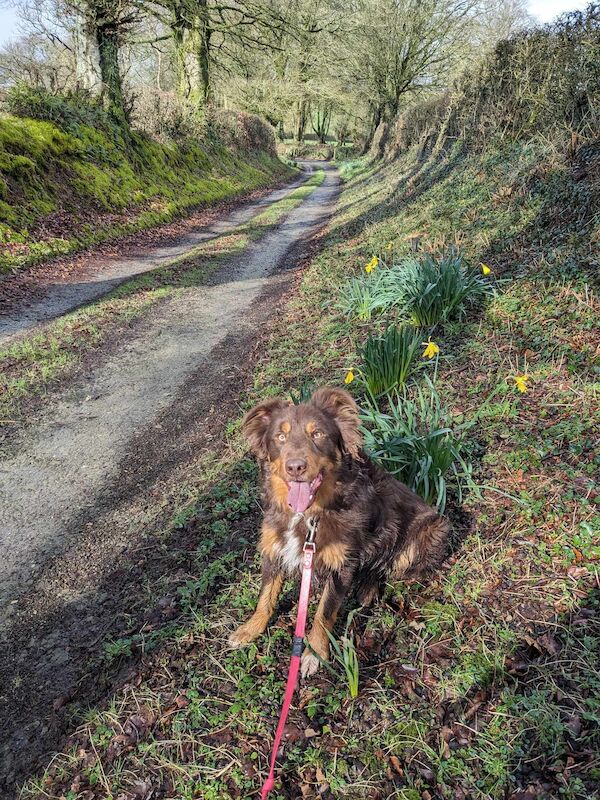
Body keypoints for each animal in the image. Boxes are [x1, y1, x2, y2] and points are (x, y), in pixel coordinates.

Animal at [227, 388, 448, 676]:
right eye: (280, 436)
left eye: (318, 434)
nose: (295, 467)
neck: (308, 515)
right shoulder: (274, 549)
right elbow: (265, 596)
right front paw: (249, 629)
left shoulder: (340, 563)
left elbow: (325, 611)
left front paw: (314, 654)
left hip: (429, 532)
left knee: (388, 565)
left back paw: (367, 588)